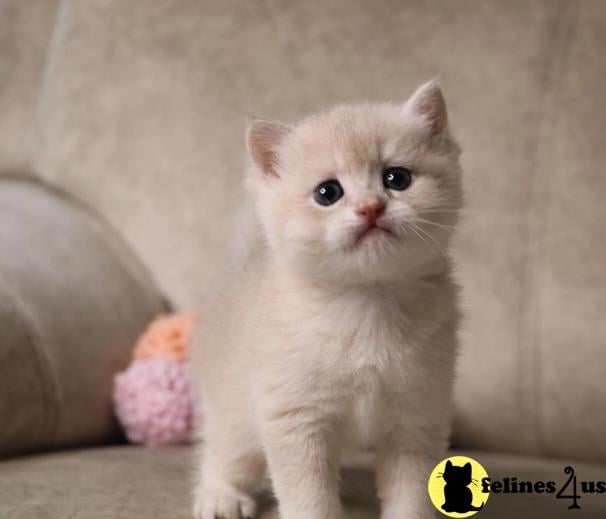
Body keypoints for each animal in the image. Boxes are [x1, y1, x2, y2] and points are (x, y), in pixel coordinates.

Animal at [192, 81, 464, 519]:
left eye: (397, 178)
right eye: (327, 193)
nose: (370, 208)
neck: (367, 302)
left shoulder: (417, 418)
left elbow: (412, 493)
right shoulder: (295, 421)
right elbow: (310, 498)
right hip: (235, 414)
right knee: (222, 454)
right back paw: (220, 496)